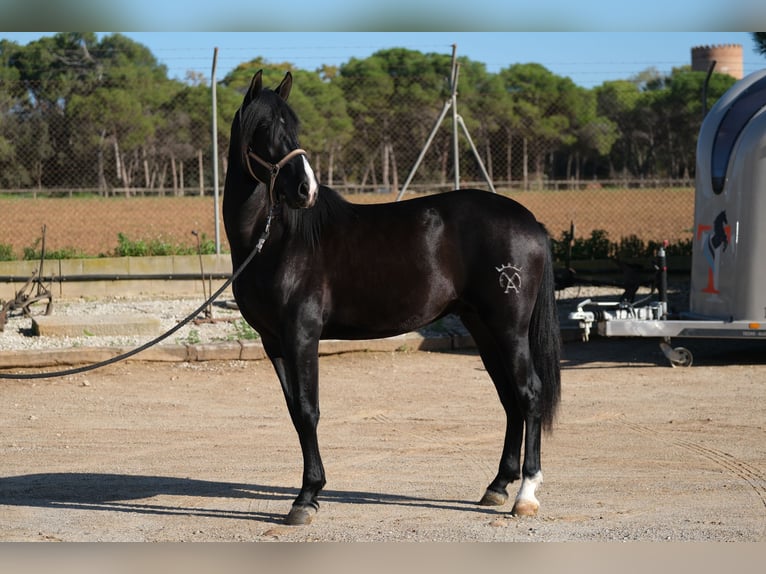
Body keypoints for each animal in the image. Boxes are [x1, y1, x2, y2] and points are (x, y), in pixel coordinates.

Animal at [222, 71, 564, 528]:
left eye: (291, 125)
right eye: (263, 127)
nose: (305, 189)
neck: (275, 241)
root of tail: (532, 222)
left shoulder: (301, 336)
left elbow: (310, 410)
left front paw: (306, 497)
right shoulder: (273, 341)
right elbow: (296, 412)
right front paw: (309, 492)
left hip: (509, 328)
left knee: (529, 394)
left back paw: (525, 494)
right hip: (482, 327)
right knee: (510, 398)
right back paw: (497, 486)